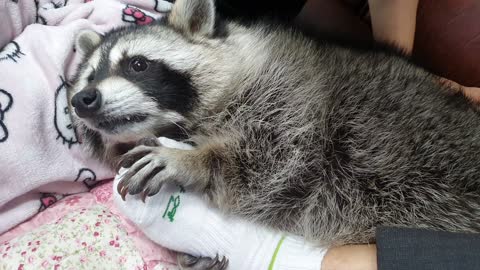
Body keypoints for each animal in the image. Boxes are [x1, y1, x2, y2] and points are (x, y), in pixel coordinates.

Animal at [69, 0, 480, 250]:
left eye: (137, 65)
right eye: (88, 77)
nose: (83, 100)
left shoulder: (293, 96)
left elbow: (277, 161)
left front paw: (195, 160)